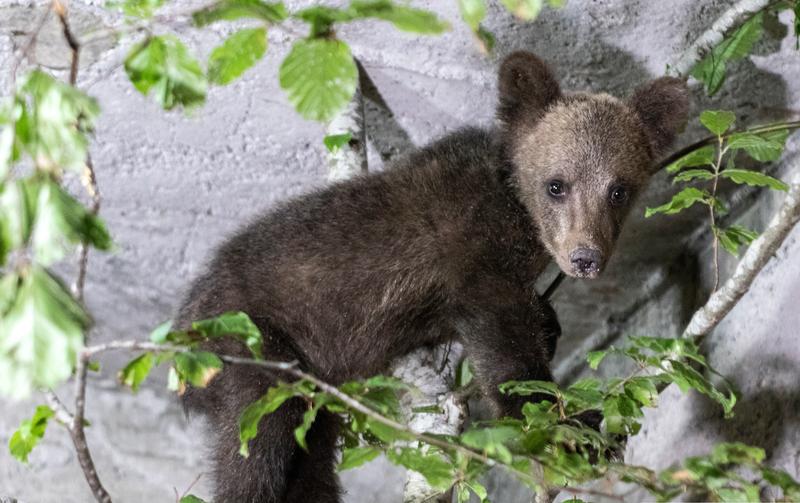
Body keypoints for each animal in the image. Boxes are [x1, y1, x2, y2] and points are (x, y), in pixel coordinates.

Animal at [175, 50, 688, 500]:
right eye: (556, 184)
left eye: (619, 189)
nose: (585, 257)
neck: (517, 217)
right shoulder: (474, 263)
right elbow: (506, 354)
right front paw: (570, 426)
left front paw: (551, 325)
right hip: (252, 345)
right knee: (258, 445)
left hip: (315, 393)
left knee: (310, 464)